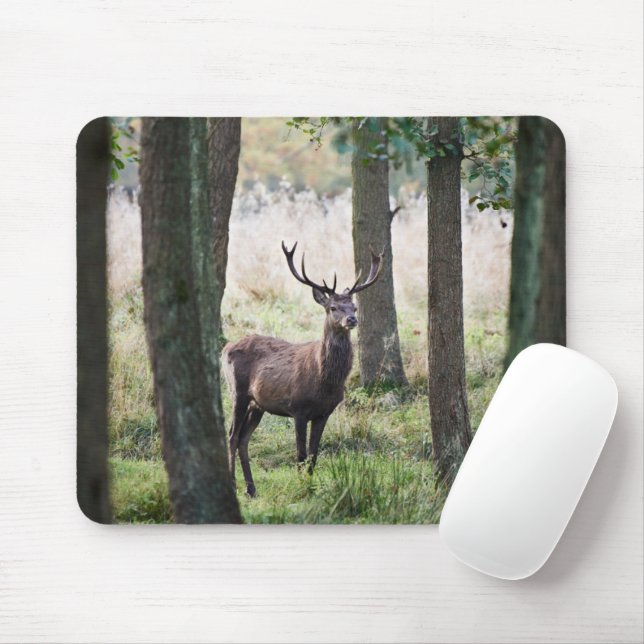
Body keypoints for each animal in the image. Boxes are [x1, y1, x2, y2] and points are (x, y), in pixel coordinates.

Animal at [222, 240, 383, 497]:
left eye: (354, 307)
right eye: (333, 307)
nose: (351, 320)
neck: (324, 381)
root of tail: (225, 347)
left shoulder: (324, 413)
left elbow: (314, 456)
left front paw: (311, 486)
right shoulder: (297, 408)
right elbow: (300, 455)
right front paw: (301, 489)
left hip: (258, 404)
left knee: (243, 439)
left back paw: (251, 489)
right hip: (237, 391)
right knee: (232, 436)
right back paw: (235, 484)